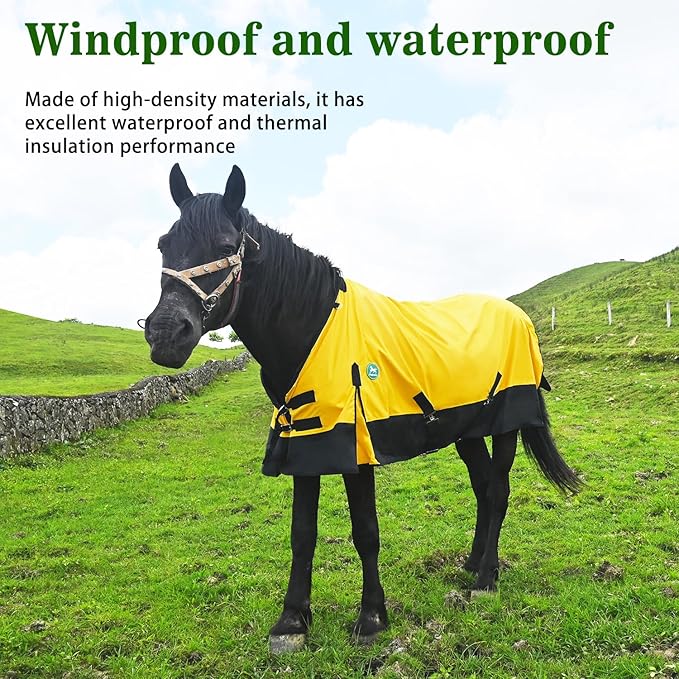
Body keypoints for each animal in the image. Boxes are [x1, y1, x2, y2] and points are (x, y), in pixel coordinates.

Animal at [144, 164, 581, 653]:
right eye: (164, 244)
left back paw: (485, 578)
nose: (165, 334)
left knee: (500, 490)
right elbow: (302, 534)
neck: (312, 327)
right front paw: (292, 621)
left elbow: (366, 532)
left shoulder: (355, 446)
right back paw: (472, 564)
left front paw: (371, 617)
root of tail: (518, 316)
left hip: (506, 423)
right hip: (464, 431)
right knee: (484, 489)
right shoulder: (305, 441)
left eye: (223, 247)